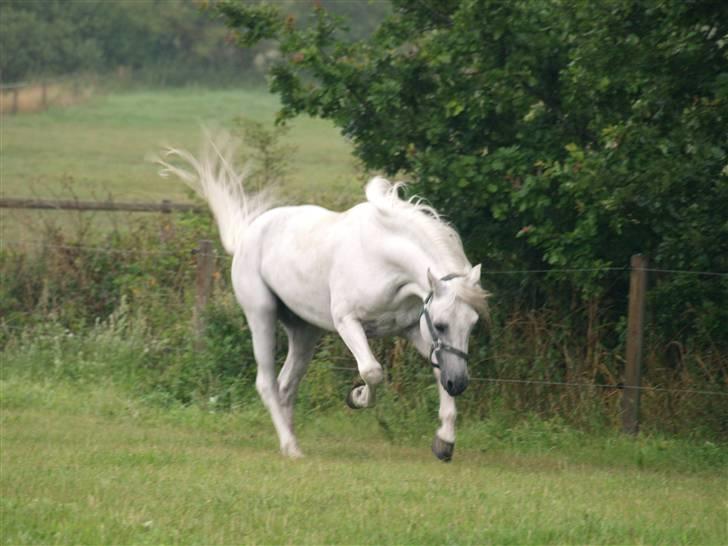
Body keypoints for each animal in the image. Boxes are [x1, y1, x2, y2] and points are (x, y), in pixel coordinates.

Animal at [158, 132, 490, 460]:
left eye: (472, 324)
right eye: (442, 324)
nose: (459, 384)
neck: (384, 261)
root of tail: (246, 235)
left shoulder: (411, 329)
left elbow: (435, 370)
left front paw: (444, 441)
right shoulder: (347, 322)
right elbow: (372, 371)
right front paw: (356, 396)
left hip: (305, 331)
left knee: (286, 385)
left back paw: (289, 440)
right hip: (261, 315)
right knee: (267, 383)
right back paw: (291, 448)